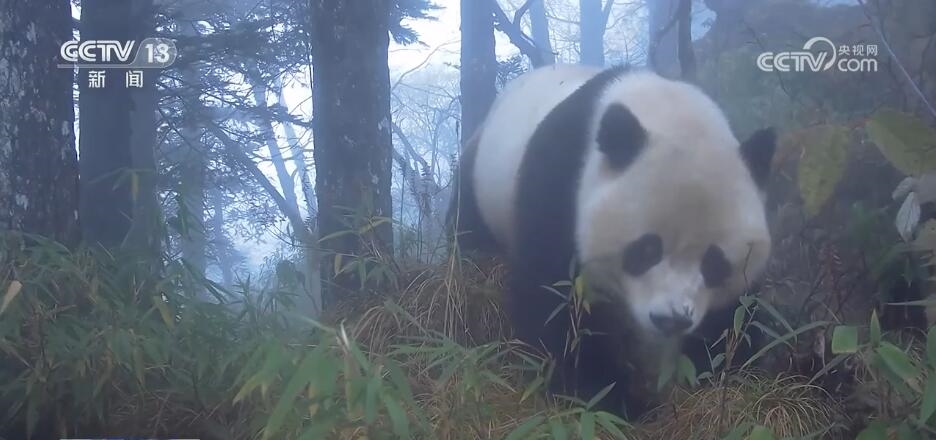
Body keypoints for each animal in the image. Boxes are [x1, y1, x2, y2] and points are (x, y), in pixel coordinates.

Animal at [448, 64, 777, 418]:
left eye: (714, 262)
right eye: (646, 249)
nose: (671, 319)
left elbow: (733, 316)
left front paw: (717, 376)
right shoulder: (559, 182)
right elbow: (554, 300)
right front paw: (612, 399)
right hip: (480, 178)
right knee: (466, 227)